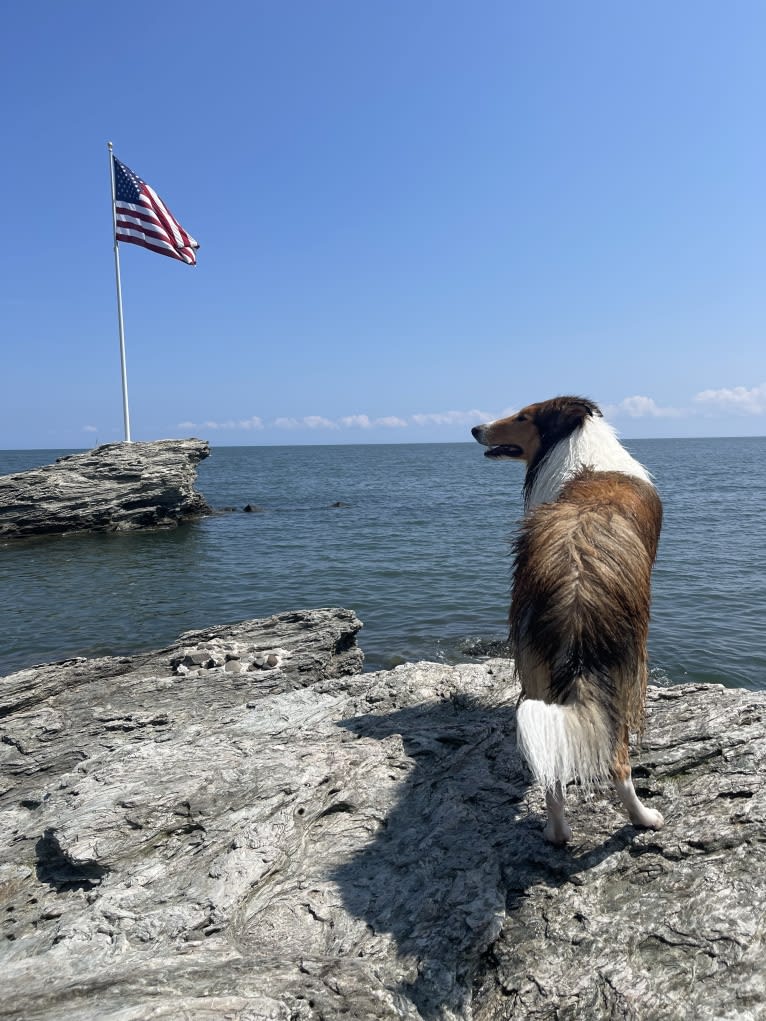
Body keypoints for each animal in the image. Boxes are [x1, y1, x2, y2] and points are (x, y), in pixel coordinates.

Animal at [471, 394, 661, 841]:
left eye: (523, 416)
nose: (475, 429)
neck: (578, 450)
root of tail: (576, 589)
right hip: (624, 670)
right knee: (618, 761)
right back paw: (645, 818)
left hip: (536, 668)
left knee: (552, 761)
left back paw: (557, 834)